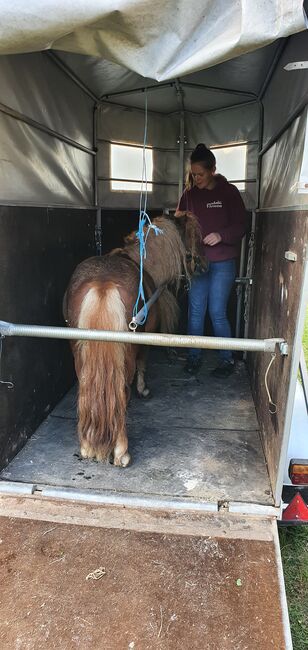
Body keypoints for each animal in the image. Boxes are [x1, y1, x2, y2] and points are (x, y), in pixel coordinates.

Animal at [63, 213, 205, 466]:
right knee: (121, 391)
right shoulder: (145, 343)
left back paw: (87, 447)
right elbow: (142, 364)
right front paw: (143, 390)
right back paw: (121, 452)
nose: (203, 266)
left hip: (80, 352)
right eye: (192, 239)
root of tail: (103, 283)